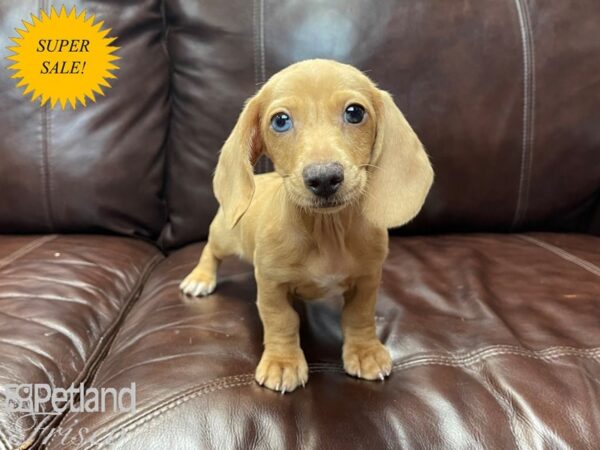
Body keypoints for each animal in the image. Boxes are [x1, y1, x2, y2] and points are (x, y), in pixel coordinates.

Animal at [180, 59, 434, 394]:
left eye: (355, 113)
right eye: (280, 121)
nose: (324, 178)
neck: (326, 231)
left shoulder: (368, 280)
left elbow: (360, 316)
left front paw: (365, 352)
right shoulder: (271, 286)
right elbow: (281, 321)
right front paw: (283, 362)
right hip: (224, 235)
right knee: (211, 250)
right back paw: (200, 277)